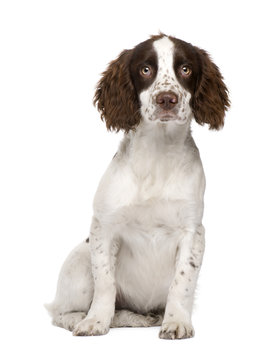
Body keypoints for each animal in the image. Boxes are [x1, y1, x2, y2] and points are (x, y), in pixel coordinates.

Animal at [45, 33, 229, 340]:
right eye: (145, 69)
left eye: (185, 69)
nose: (167, 99)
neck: (158, 153)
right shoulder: (103, 227)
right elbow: (105, 281)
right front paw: (95, 321)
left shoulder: (193, 231)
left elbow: (182, 281)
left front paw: (177, 322)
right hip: (80, 261)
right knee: (58, 312)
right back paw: (82, 318)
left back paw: (141, 317)